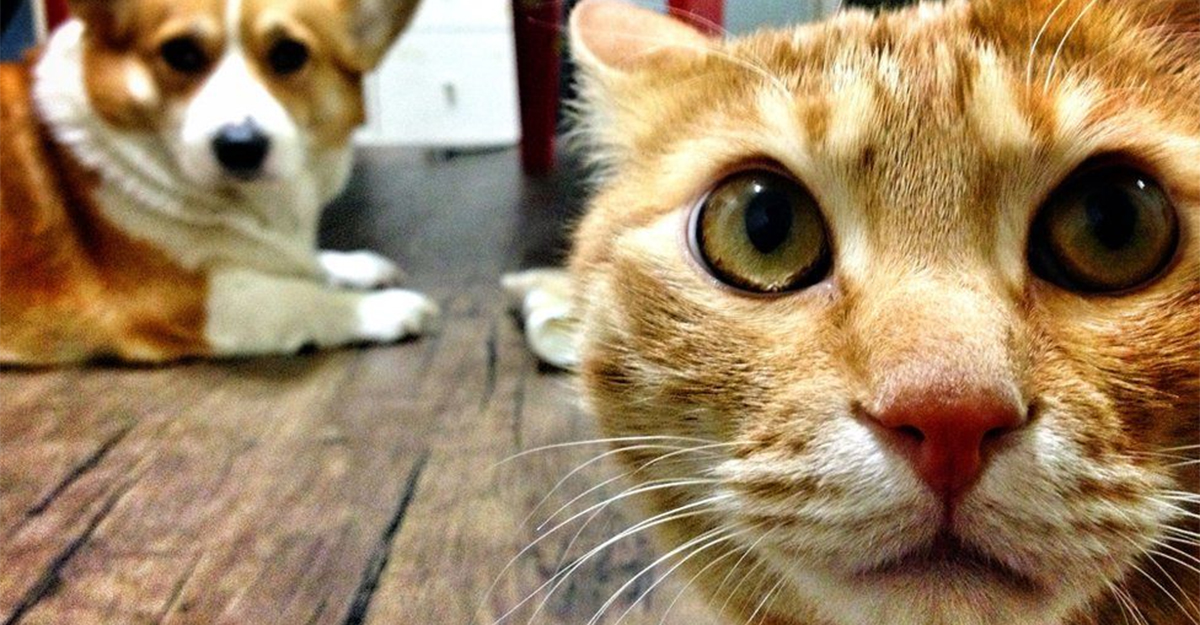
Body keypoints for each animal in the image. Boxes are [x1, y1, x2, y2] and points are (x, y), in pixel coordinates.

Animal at [0, 0, 438, 364]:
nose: (241, 147)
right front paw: (385, 307)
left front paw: (355, 265)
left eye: (289, 54)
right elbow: (297, 296)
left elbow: (306, 263)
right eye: (181, 53)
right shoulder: (186, 305)